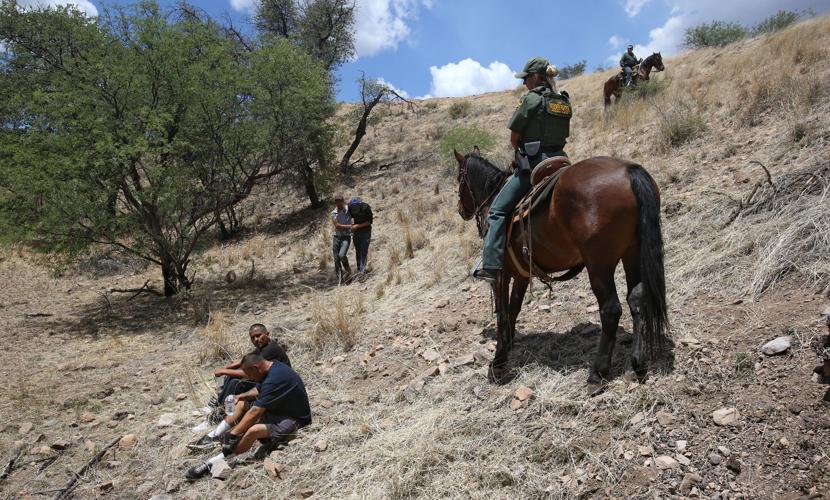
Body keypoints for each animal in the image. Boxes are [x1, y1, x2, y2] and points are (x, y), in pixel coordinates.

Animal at [454, 150, 668, 385]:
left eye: (459, 178)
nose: (461, 210)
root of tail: (629, 171)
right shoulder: (521, 275)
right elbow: (513, 310)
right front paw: (507, 345)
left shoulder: (501, 275)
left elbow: (502, 314)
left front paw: (498, 364)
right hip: (632, 253)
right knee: (637, 299)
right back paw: (638, 364)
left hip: (599, 264)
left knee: (611, 309)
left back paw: (597, 374)